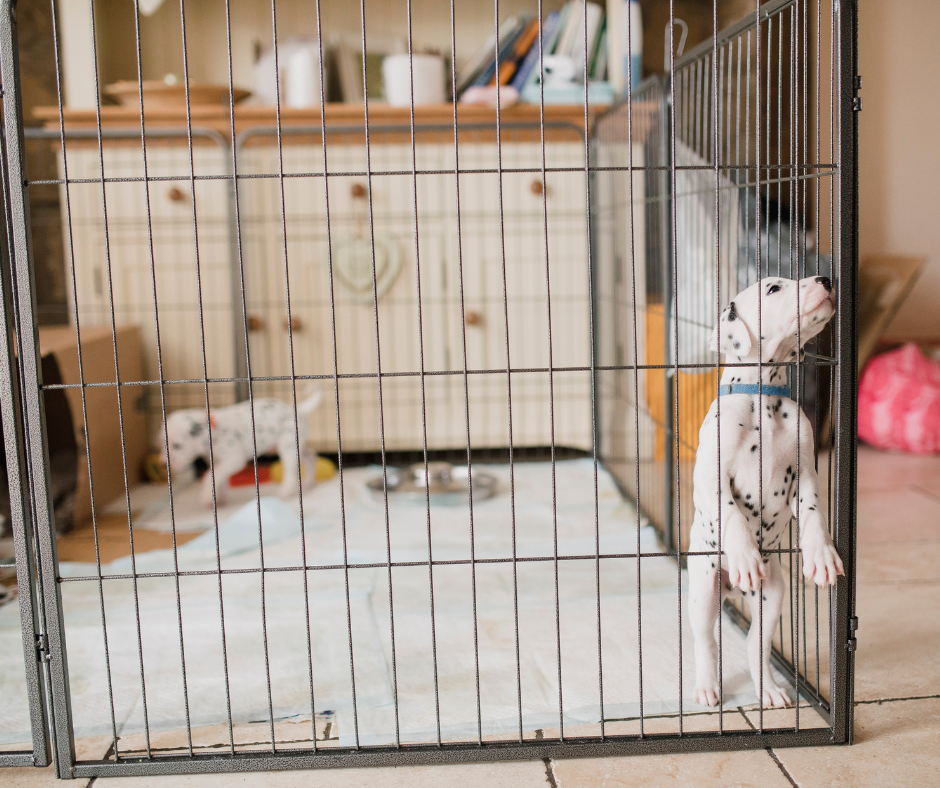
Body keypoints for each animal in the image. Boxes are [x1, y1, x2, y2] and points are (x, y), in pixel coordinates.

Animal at [162, 386, 324, 508]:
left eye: (177, 446)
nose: (164, 464)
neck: (213, 428)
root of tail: (300, 409)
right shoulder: (218, 462)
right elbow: (219, 479)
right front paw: (219, 499)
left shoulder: (233, 459)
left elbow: (211, 477)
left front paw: (207, 497)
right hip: (297, 445)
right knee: (310, 456)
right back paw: (308, 483)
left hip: (288, 445)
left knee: (290, 472)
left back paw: (284, 491)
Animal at [692, 276, 844, 708]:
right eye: (774, 289)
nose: (827, 280)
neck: (764, 398)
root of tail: (733, 591)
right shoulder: (711, 477)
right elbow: (729, 513)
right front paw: (744, 553)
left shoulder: (805, 473)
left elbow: (812, 513)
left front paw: (820, 554)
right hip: (703, 587)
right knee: (705, 641)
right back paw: (707, 686)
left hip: (773, 594)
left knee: (755, 646)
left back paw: (770, 690)